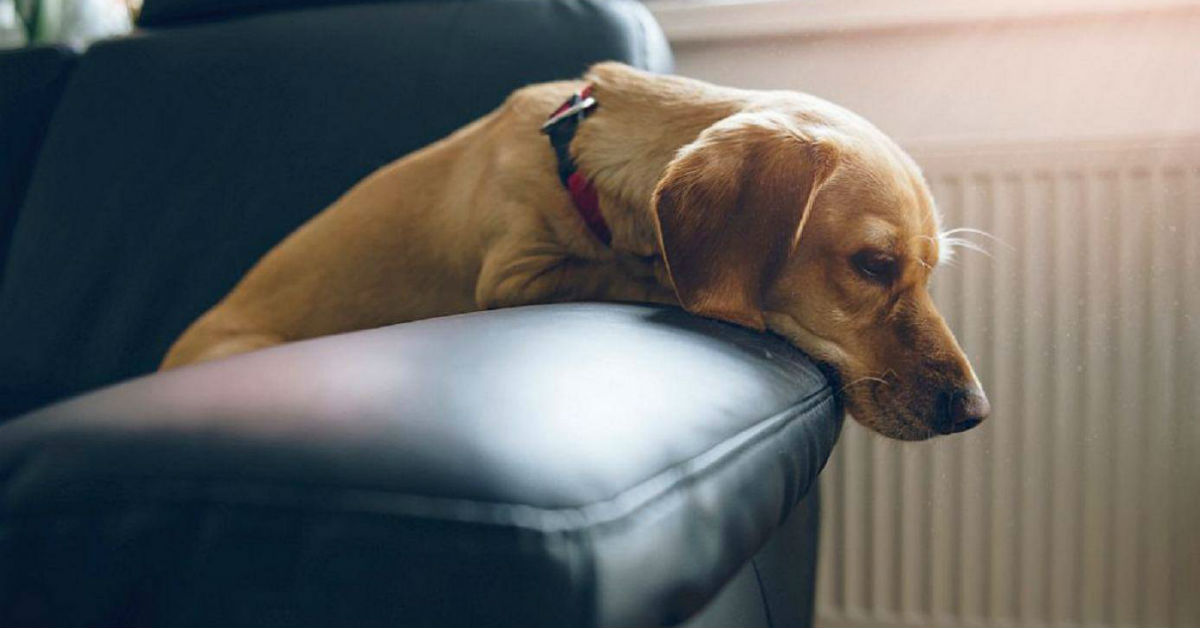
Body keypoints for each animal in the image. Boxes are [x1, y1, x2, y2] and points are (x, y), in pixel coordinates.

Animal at [159, 61, 984, 439]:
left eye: (929, 272)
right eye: (872, 265)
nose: (977, 411)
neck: (578, 157)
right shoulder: (515, 276)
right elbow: (628, 271)